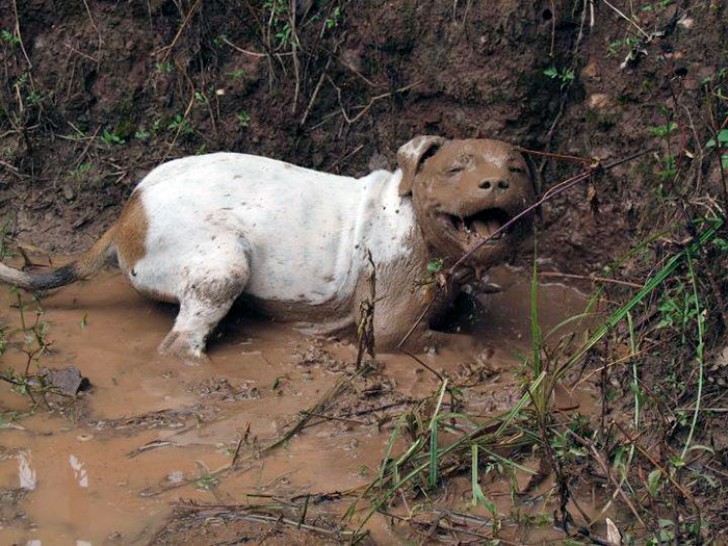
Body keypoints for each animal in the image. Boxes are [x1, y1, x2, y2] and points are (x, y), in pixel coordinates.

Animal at [0, 137, 536, 362]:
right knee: (181, 343)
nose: (496, 182)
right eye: (456, 168)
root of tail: (129, 212)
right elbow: (445, 340)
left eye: (519, 169)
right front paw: (492, 351)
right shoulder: (391, 330)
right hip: (224, 264)